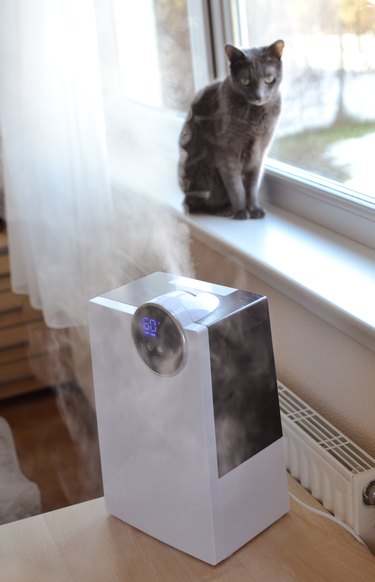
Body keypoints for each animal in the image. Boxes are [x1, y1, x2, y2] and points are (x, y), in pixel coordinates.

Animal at [179, 40, 284, 220]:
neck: (256, 117)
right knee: (201, 204)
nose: (258, 96)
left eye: (269, 79)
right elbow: (236, 187)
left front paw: (254, 208)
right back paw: (224, 209)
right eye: (245, 81)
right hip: (205, 173)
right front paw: (241, 211)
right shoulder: (227, 153)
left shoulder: (260, 154)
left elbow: (252, 186)